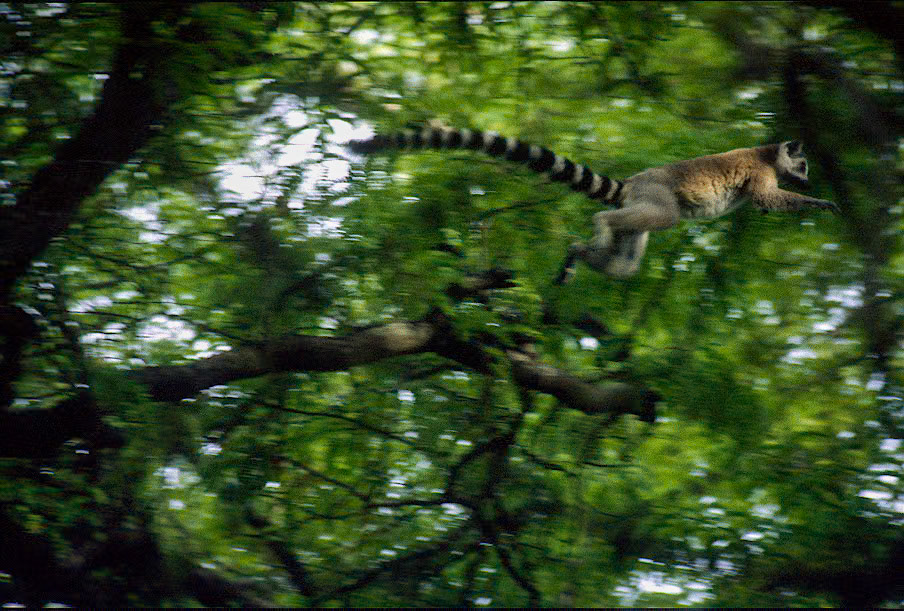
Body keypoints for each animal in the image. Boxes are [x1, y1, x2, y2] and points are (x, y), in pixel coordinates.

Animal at [347, 127, 837, 282]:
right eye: (803, 164)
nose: (808, 176)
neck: (770, 154)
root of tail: (636, 181)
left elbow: (764, 205)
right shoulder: (762, 173)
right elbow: (768, 197)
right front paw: (819, 202)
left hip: (637, 220)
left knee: (625, 263)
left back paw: (580, 253)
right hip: (658, 198)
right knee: (658, 217)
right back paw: (599, 224)